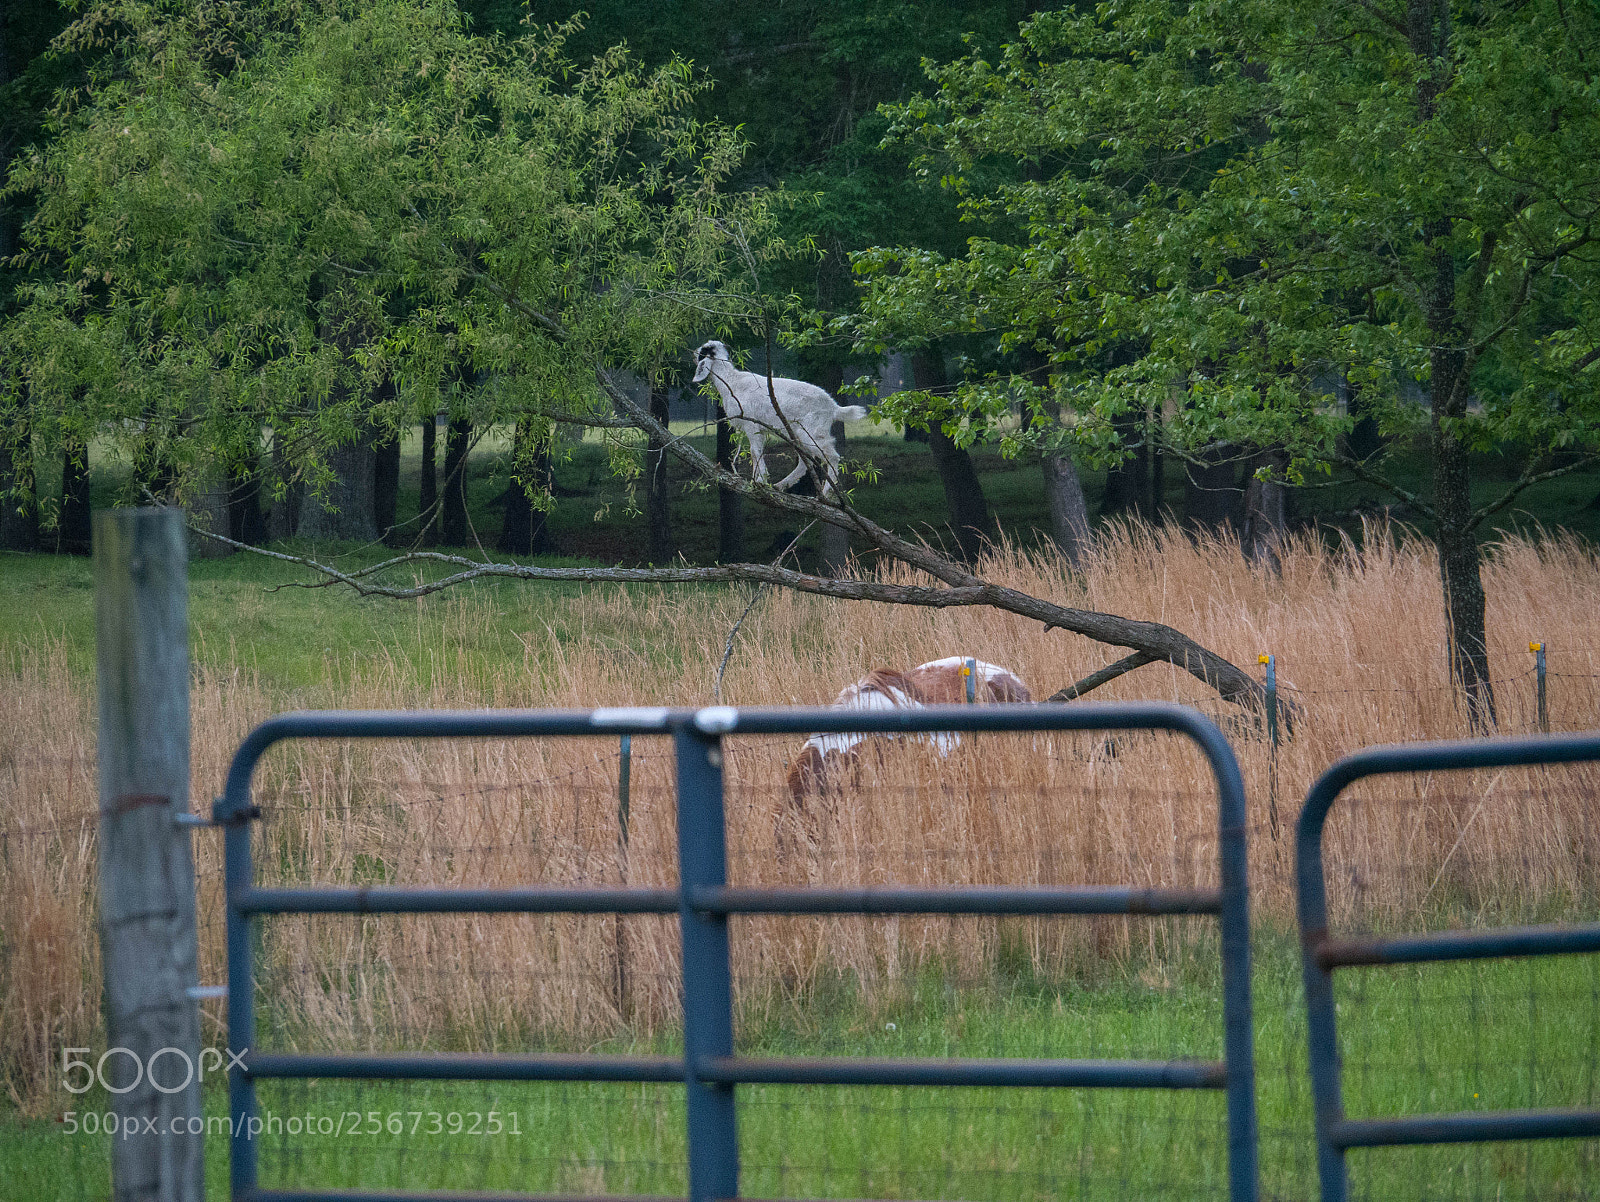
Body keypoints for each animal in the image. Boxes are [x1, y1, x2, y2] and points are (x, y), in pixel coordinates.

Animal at [692, 340, 869, 496]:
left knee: (831, 455)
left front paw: (760, 481)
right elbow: (756, 452)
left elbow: (755, 450)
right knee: (805, 462)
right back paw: (781, 485)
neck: (731, 381)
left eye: (703, 351)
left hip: (812, 430)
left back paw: (825, 492)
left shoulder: (751, 424)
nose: (694, 353)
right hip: (798, 434)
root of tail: (833, 407)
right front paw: (758, 480)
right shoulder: (759, 429)